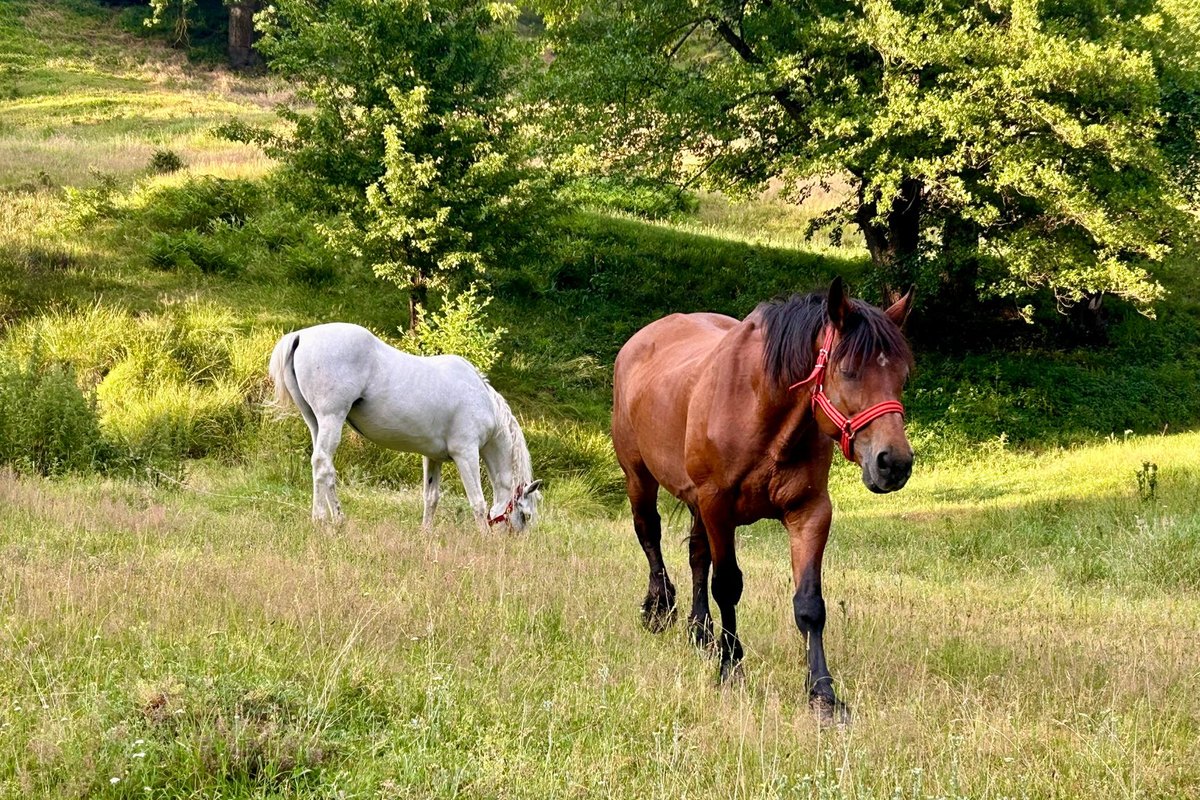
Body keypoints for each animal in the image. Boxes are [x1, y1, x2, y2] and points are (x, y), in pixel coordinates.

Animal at [268, 322, 542, 532]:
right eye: (526, 515)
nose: (511, 542)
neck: (484, 402)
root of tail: (301, 335)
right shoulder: (466, 453)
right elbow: (478, 501)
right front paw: (483, 536)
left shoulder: (433, 457)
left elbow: (431, 497)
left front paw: (426, 533)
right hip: (331, 418)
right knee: (324, 466)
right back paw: (330, 519)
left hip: (315, 421)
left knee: (319, 465)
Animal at [611, 277, 913, 720]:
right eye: (848, 371)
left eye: (902, 376)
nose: (894, 463)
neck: (760, 411)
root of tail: (638, 340)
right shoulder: (718, 506)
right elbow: (727, 586)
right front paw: (731, 668)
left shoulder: (809, 512)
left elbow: (809, 604)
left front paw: (823, 695)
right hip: (639, 477)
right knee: (650, 535)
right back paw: (660, 608)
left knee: (696, 556)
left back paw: (700, 633)